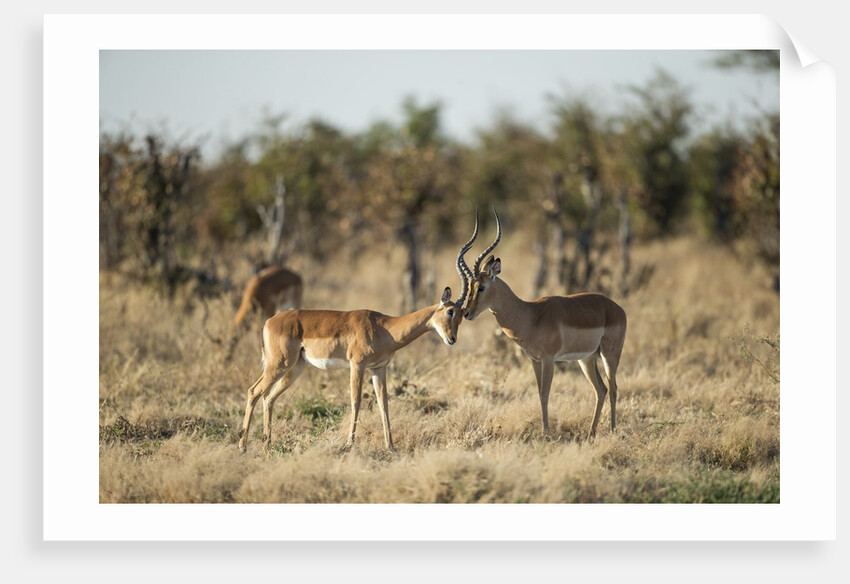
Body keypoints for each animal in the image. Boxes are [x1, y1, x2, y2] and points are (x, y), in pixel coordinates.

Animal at [237, 230, 478, 453]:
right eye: (450, 311)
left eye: (463, 314)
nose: (452, 339)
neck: (384, 327)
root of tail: (270, 321)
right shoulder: (357, 365)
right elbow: (356, 401)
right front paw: (349, 443)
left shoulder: (378, 368)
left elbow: (384, 404)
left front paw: (391, 446)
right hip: (279, 364)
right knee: (253, 391)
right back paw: (243, 445)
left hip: (295, 367)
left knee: (268, 397)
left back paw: (267, 444)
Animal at [462, 209, 627, 438]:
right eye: (470, 286)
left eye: (481, 287)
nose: (466, 313)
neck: (530, 315)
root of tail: (617, 308)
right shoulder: (535, 360)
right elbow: (539, 393)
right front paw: (545, 431)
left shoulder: (549, 359)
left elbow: (545, 393)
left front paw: (546, 434)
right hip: (586, 359)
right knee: (601, 390)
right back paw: (591, 433)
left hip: (609, 354)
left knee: (613, 388)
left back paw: (611, 430)